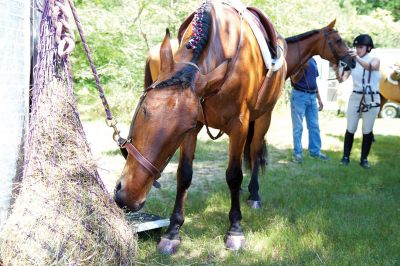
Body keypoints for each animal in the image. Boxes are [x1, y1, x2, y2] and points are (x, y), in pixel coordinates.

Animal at [115, 0, 288, 254]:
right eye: (144, 108)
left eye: (182, 129)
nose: (128, 197)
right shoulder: (197, 125)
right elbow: (184, 175)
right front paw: (173, 232)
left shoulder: (238, 126)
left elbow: (234, 176)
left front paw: (235, 229)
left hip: (264, 116)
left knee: (255, 153)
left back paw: (254, 194)